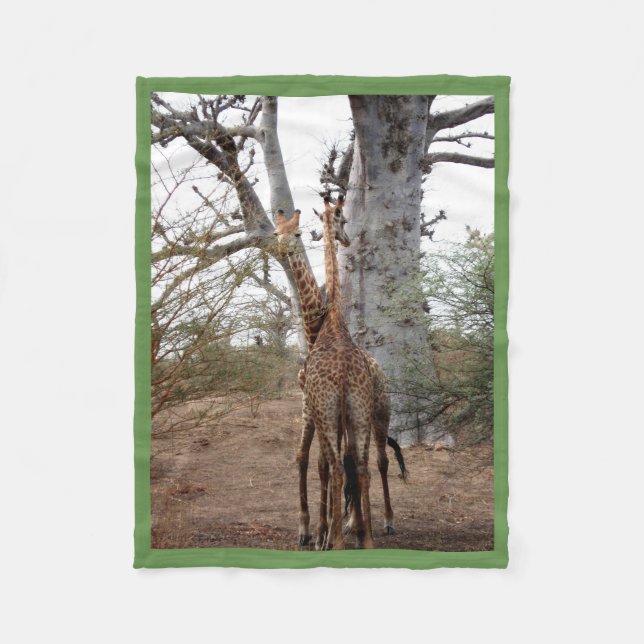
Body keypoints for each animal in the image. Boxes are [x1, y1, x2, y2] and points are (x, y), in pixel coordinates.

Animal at [274, 201, 407, 547]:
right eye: (276, 232)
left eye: (297, 232)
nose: (346, 238)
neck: (326, 322)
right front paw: (339, 525)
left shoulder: (311, 407)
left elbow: (315, 462)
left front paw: (317, 530)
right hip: (357, 413)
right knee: (358, 466)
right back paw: (361, 534)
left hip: (373, 413)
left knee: (359, 463)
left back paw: (358, 530)